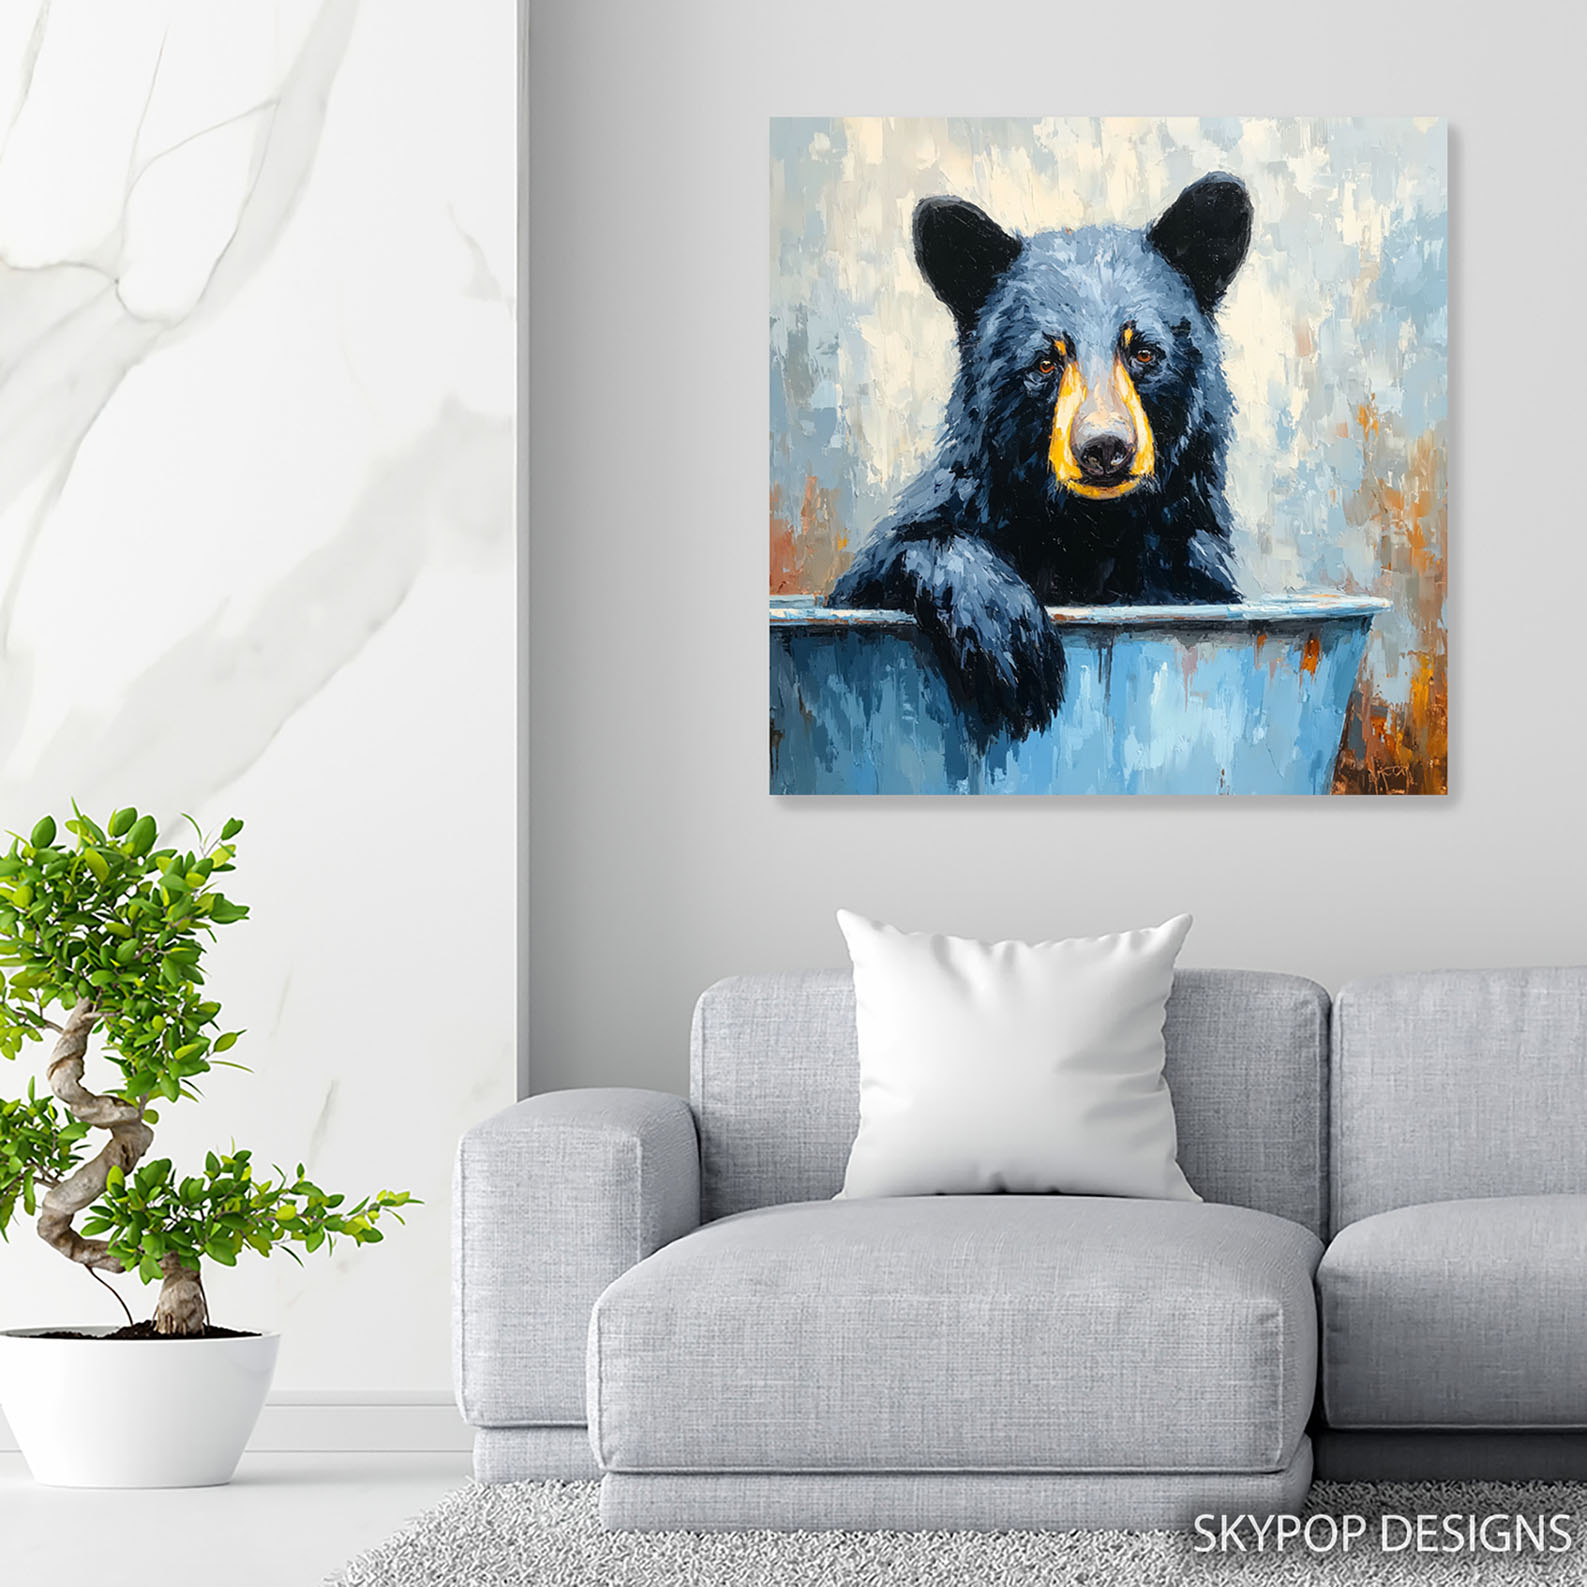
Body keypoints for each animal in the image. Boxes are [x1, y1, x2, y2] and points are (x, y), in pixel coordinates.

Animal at [827, 173, 1253, 744]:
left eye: (1144, 351)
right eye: (1046, 361)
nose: (1104, 447)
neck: (1087, 528)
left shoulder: (1186, 560)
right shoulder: (968, 503)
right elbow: (890, 560)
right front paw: (1011, 645)